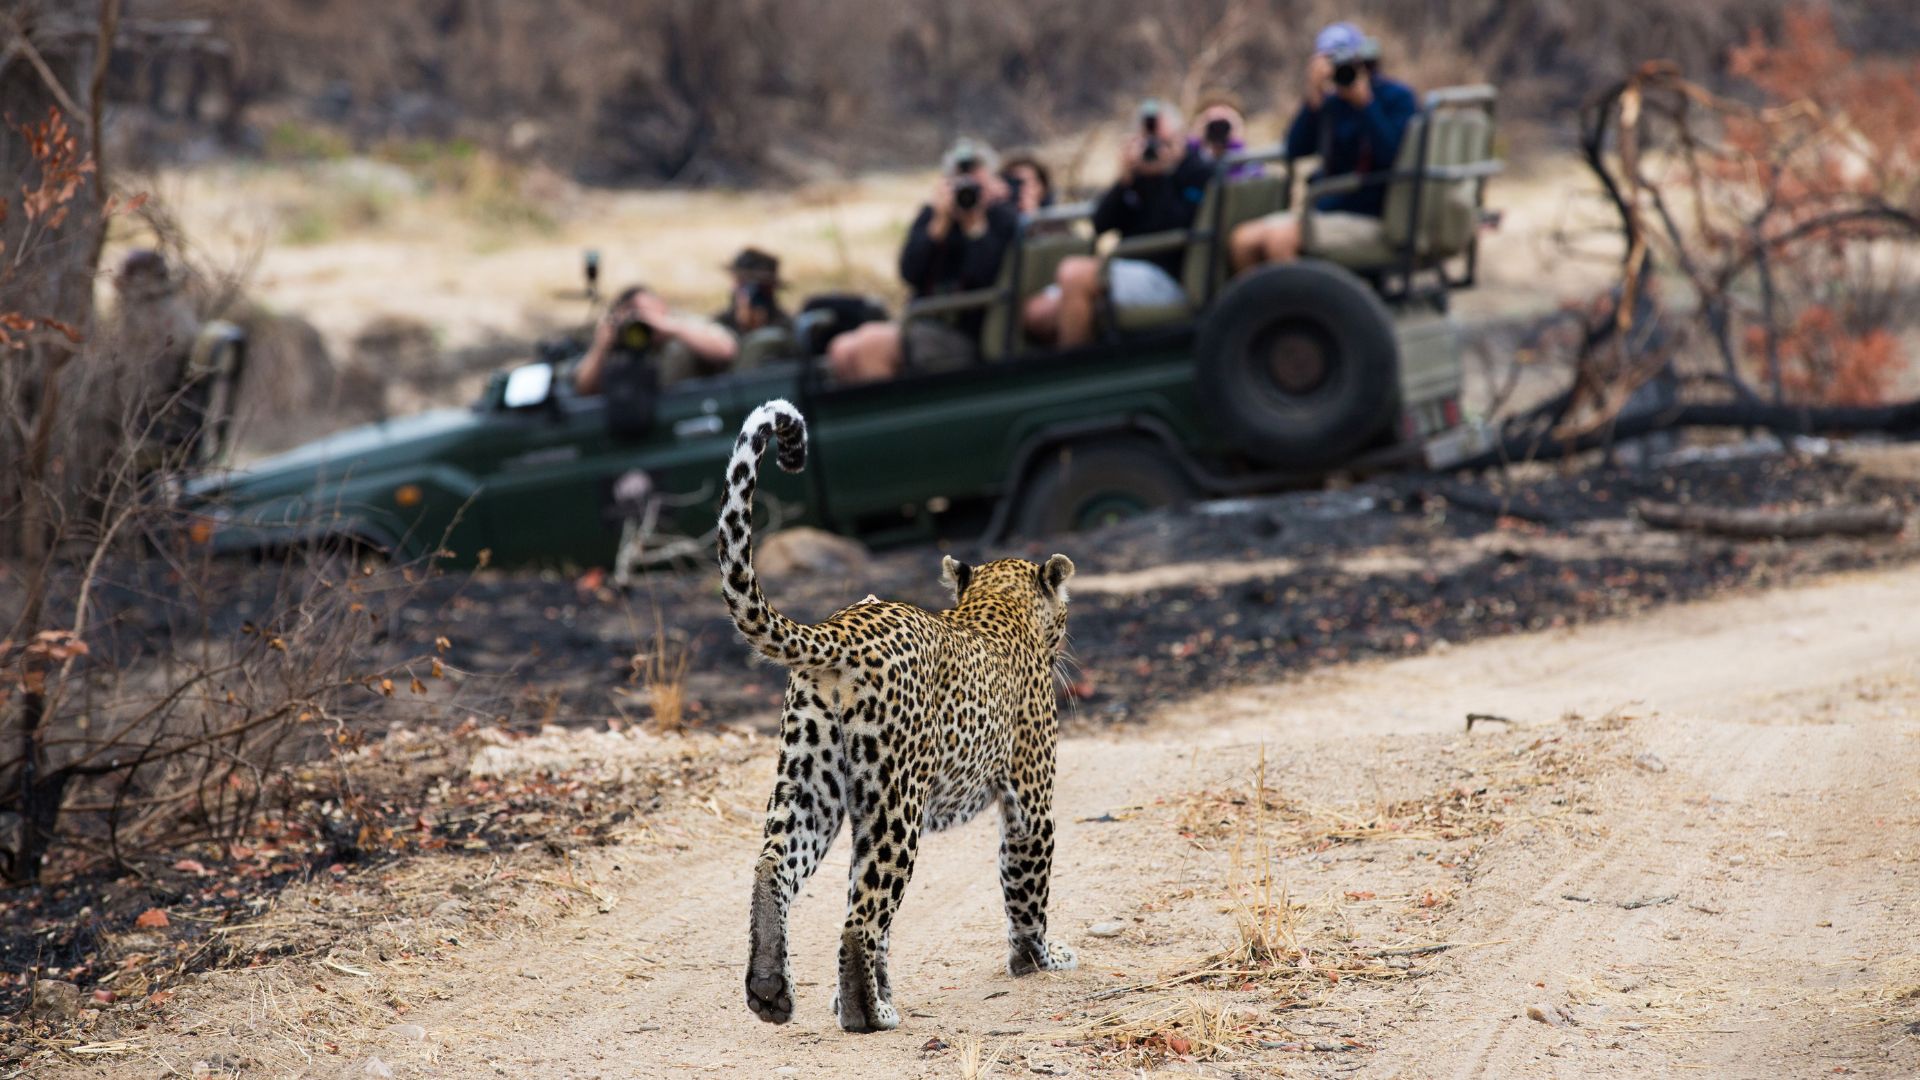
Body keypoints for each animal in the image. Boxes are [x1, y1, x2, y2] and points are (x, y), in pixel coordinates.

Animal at [718, 399, 1079, 1034]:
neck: (996, 605)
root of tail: (837, 629)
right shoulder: (1030, 801)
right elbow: (1026, 887)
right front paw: (1037, 959)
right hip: (896, 800)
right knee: (860, 918)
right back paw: (869, 1014)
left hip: (809, 780)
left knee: (773, 867)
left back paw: (771, 988)